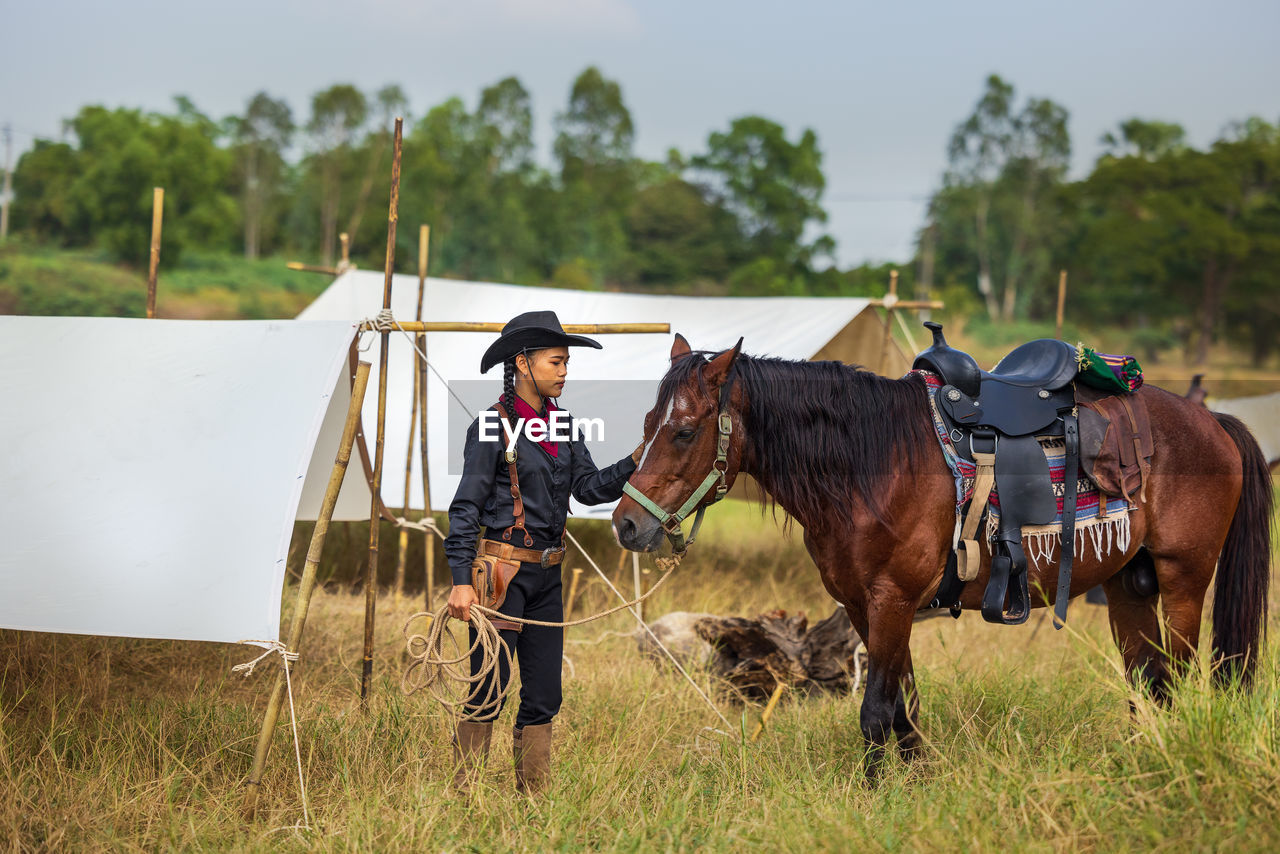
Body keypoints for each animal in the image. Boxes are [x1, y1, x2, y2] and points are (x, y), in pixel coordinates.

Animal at [616, 332, 1269, 783]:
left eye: (683, 431)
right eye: (646, 422)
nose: (627, 524)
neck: (872, 462)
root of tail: (1211, 419)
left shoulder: (892, 599)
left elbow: (877, 710)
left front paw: (875, 794)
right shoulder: (864, 605)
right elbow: (903, 710)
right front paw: (914, 781)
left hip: (1183, 579)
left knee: (1174, 678)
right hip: (1129, 586)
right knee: (1147, 681)